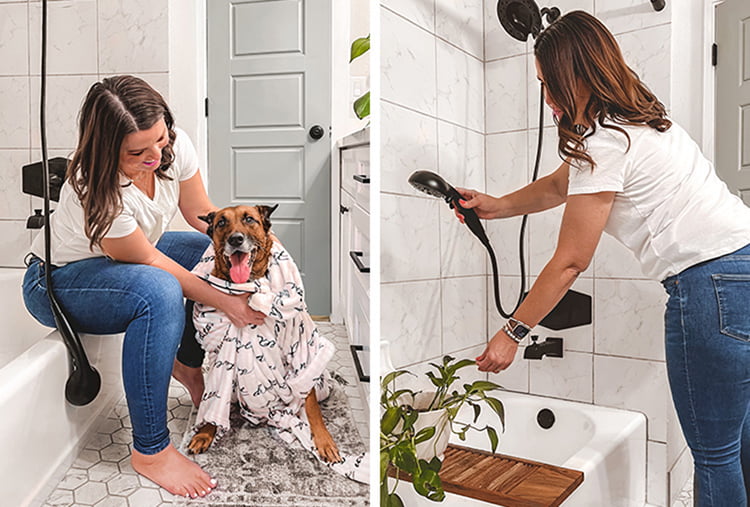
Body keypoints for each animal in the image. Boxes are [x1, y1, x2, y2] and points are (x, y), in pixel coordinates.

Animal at [187, 205, 342, 464]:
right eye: (221, 223)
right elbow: (216, 391)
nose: (236, 239)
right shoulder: (219, 352)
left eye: (249, 219)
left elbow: (311, 405)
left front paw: (324, 441)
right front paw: (207, 431)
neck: (248, 287)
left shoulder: (299, 349)